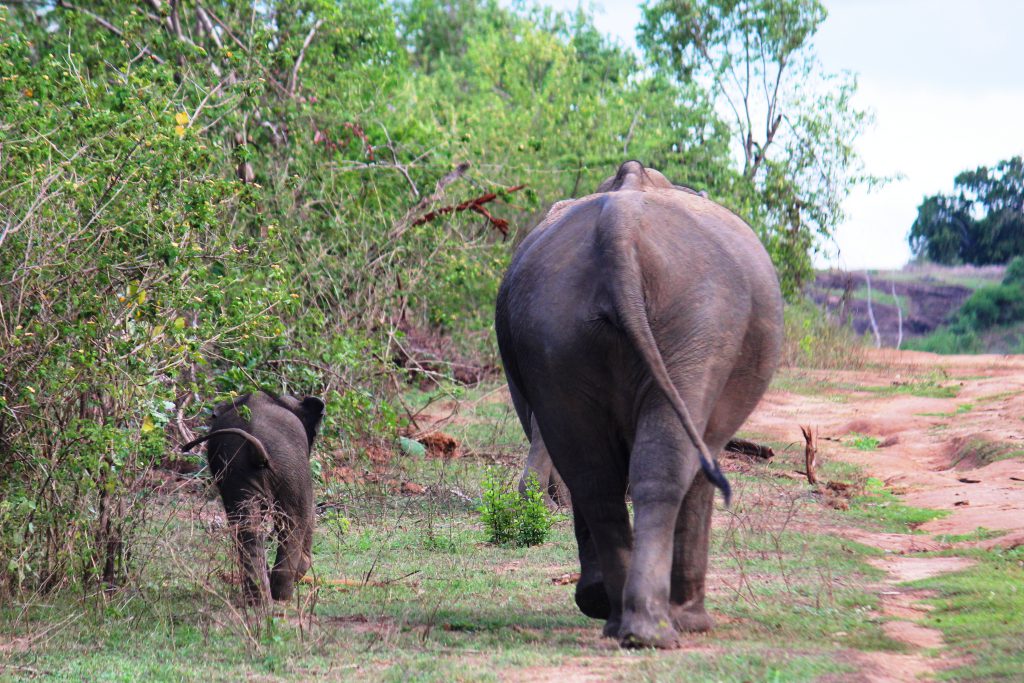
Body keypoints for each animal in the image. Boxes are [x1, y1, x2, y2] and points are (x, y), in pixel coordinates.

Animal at [183, 389, 323, 602]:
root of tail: (253, 441)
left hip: (238, 469)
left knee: (247, 526)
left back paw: (260, 601)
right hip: (290, 465)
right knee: (294, 519)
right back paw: (282, 598)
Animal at [491, 161, 778, 651]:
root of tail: (618, 230)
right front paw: (693, 621)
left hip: (553, 325)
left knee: (591, 475)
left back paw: (616, 618)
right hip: (698, 321)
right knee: (664, 465)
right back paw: (654, 629)